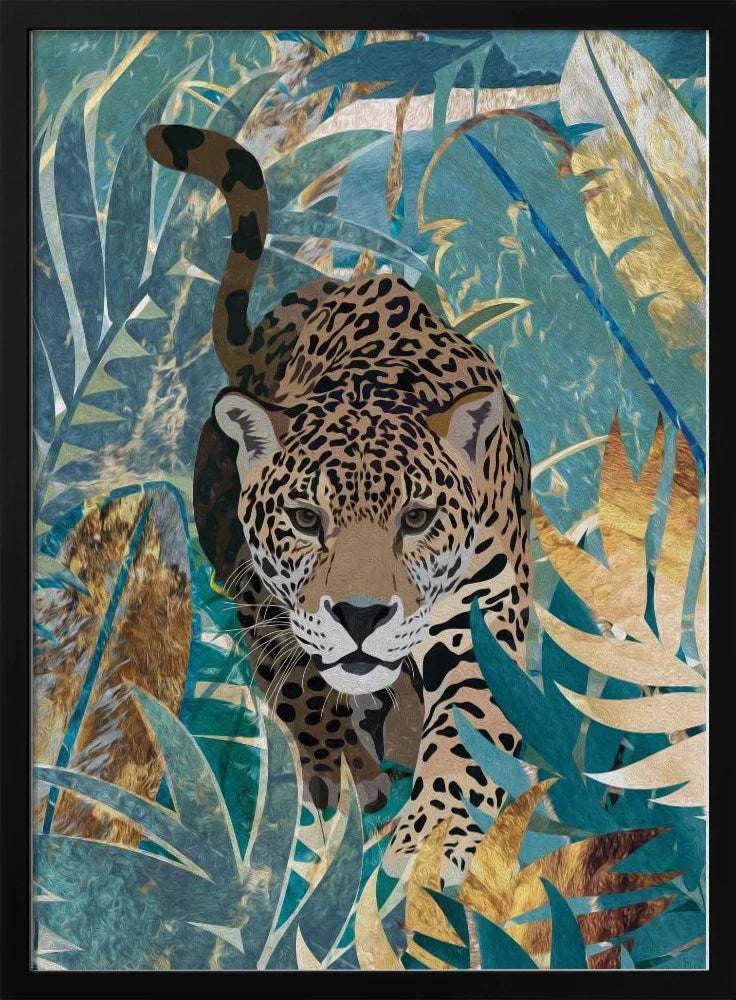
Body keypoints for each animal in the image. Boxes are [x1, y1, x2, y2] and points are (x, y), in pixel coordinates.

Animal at [146, 124, 532, 886]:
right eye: (305, 519)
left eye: (417, 520)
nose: (359, 616)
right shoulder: (263, 588)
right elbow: (294, 671)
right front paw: (341, 764)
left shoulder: (483, 617)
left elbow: (470, 732)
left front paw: (430, 840)